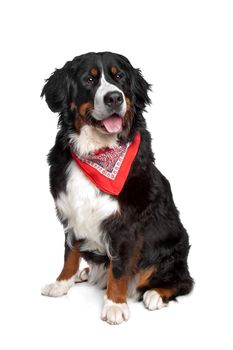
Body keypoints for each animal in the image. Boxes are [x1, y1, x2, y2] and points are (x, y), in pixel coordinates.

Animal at [41, 52, 194, 326]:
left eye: (119, 76)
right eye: (89, 79)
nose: (114, 97)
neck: (98, 151)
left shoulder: (126, 224)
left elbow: (120, 268)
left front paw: (115, 305)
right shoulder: (70, 212)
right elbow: (70, 253)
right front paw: (62, 283)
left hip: (173, 248)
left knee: (183, 281)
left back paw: (155, 294)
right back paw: (86, 272)